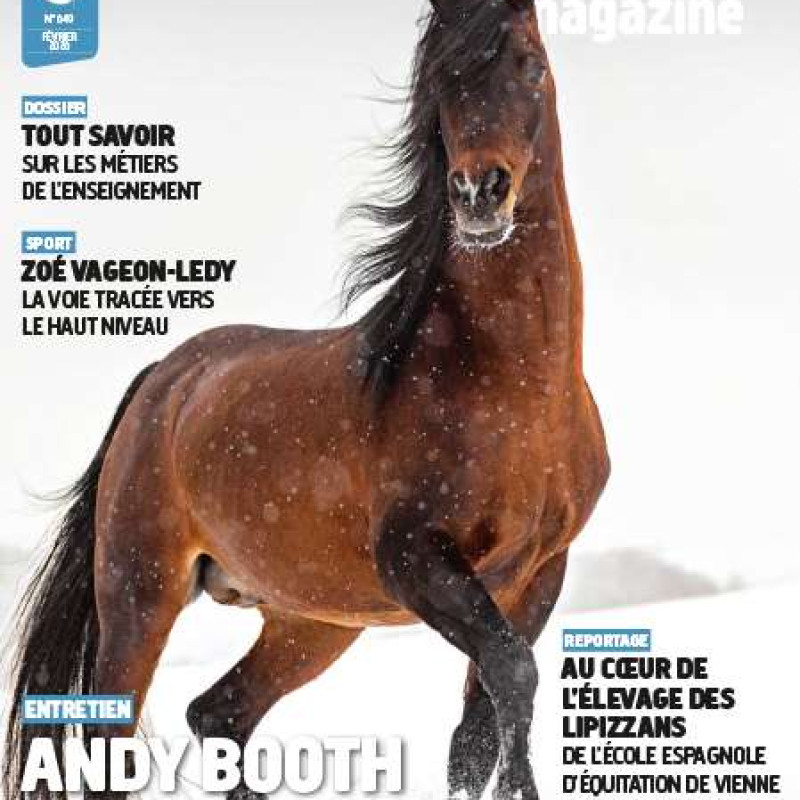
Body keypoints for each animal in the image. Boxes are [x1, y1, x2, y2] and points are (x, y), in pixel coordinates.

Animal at [3, 1, 609, 798]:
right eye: (442, 78)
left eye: (530, 66)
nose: (480, 192)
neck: (519, 394)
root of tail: (164, 378)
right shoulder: (416, 560)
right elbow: (511, 676)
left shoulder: (539, 572)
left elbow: (479, 727)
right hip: (140, 595)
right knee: (117, 742)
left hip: (315, 621)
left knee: (220, 711)